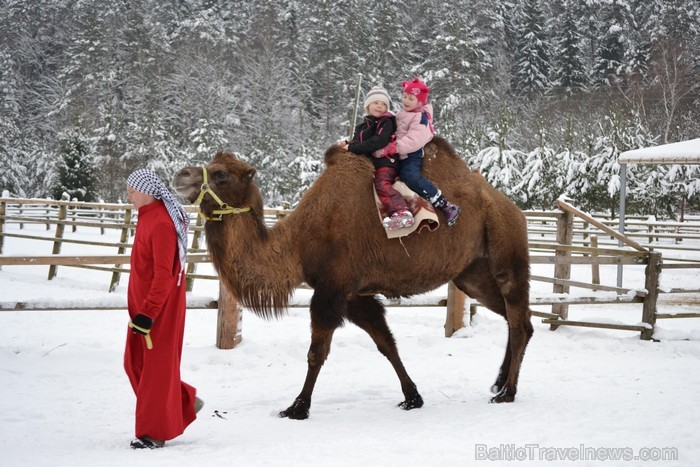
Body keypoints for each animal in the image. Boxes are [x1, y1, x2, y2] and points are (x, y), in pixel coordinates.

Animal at [172, 136, 532, 420]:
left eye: (221, 174)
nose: (180, 175)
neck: (299, 242)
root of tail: (511, 207)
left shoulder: (332, 289)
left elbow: (316, 352)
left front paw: (297, 407)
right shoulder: (354, 295)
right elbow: (386, 343)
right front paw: (412, 397)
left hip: (506, 248)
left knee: (518, 318)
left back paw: (508, 392)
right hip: (472, 272)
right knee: (512, 317)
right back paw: (498, 382)